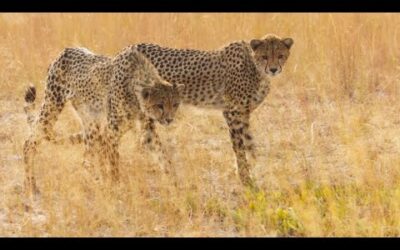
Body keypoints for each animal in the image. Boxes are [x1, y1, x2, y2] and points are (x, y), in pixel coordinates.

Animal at [23, 46, 183, 196]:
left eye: (175, 104)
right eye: (159, 105)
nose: (169, 119)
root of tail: (66, 50)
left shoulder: (147, 131)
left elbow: (163, 157)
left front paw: (176, 185)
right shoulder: (111, 133)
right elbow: (113, 163)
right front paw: (116, 187)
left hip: (91, 122)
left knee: (86, 159)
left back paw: (96, 179)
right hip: (52, 105)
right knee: (30, 142)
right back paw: (31, 185)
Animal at [135, 34, 294, 187]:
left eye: (280, 55)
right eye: (264, 56)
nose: (273, 69)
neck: (255, 68)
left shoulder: (244, 114)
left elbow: (250, 143)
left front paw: (257, 169)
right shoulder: (232, 112)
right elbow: (239, 146)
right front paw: (245, 178)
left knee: (145, 139)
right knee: (148, 139)